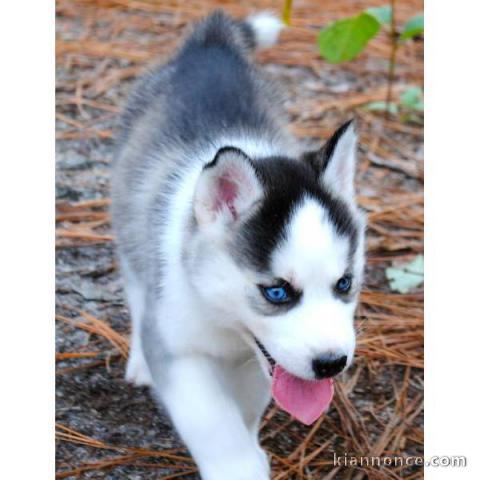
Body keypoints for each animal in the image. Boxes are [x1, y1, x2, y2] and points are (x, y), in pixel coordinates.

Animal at [112, 8, 366, 480]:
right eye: (277, 292)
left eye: (344, 284)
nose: (331, 364)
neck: (225, 323)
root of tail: (211, 44)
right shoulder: (180, 350)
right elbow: (213, 422)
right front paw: (239, 465)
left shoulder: (257, 361)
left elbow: (246, 409)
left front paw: (253, 446)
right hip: (130, 228)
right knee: (137, 291)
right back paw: (139, 360)